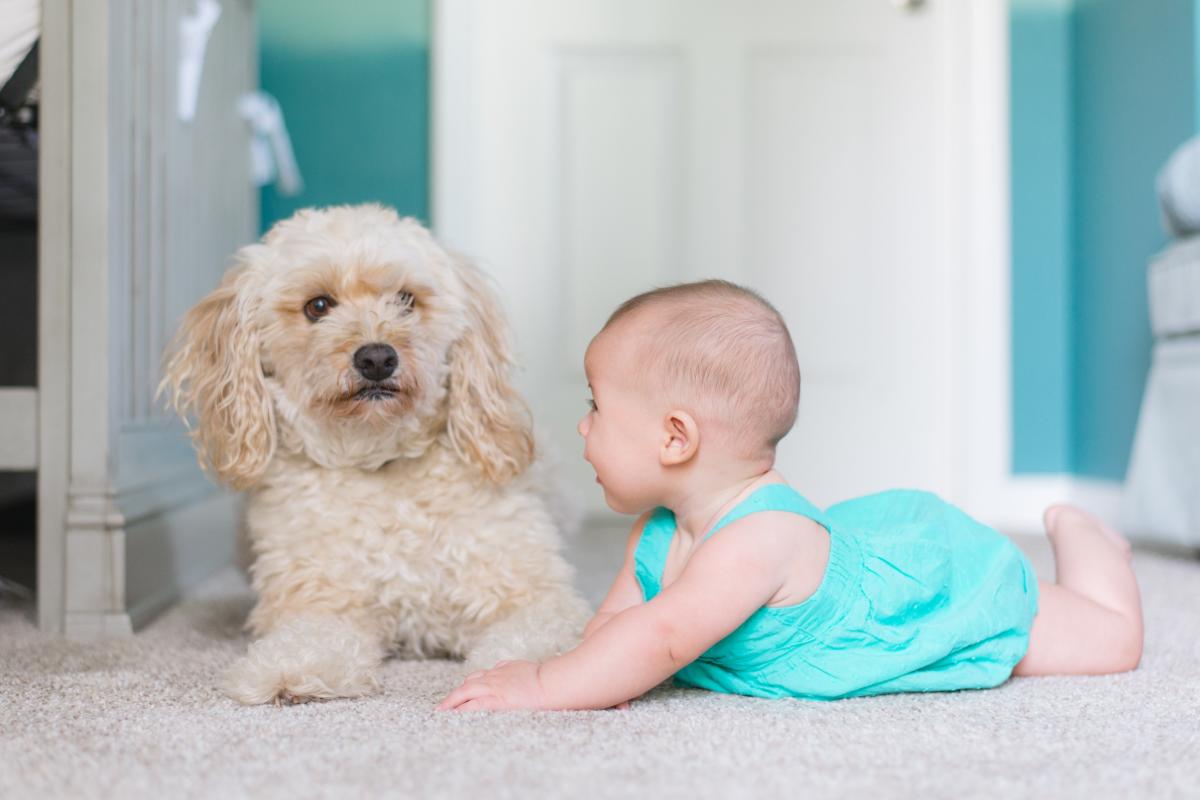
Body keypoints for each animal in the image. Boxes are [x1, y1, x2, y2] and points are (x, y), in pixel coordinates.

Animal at [162, 205, 592, 705]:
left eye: (406, 299)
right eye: (318, 306)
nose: (376, 359)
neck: (380, 461)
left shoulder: (534, 595)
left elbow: (537, 636)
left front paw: (523, 674)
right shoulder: (320, 601)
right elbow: (310, 638)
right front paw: (289, 670)